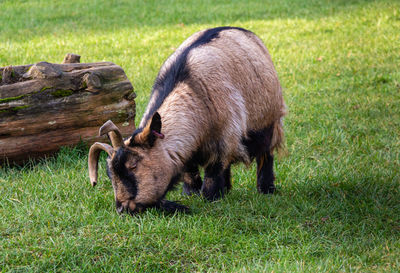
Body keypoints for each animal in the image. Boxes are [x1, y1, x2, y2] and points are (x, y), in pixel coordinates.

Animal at [89, 27, 286, 215]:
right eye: (109, 174)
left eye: (133, 166)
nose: (122, 208)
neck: (196, 94)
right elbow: (190, 170)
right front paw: (192, 193)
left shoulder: (223, 141)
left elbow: (214, 173)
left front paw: (211, 198)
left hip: (269, 121)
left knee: (266, 154)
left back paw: (266, 188)